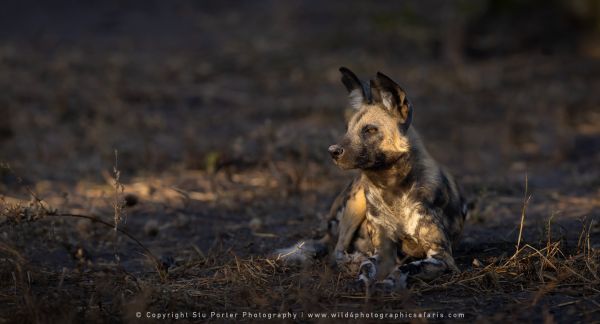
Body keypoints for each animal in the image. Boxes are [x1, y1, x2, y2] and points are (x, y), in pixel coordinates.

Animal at [276, 68, 468, 292]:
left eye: (370, 130)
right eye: (347, 129)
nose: (332, 151)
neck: (392, 190)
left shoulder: (443, 258)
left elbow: (406, 268)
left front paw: (389, 283)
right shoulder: (383, 252)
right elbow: (368, 267)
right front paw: (362, 281)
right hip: (355, 202)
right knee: (336, 251)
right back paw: (354, 259)